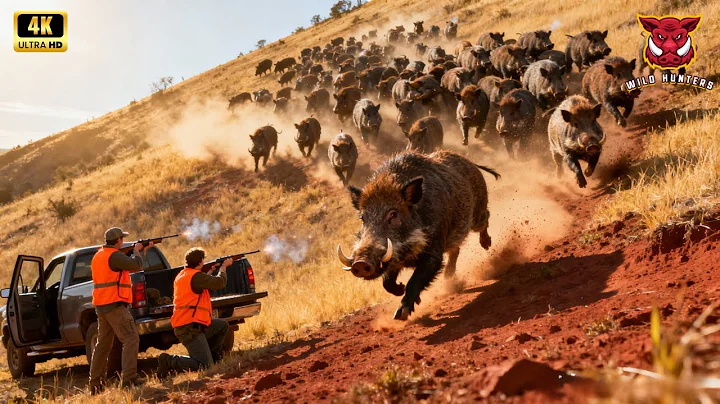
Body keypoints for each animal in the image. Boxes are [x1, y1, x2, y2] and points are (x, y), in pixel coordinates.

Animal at [338, 150, 500, 320]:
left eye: (393, 214)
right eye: (363, 218)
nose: (360, 263)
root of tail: (471, 163)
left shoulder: (433, 253)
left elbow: (416, 280)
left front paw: (400, 315)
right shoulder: (393, 259)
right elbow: (387, 282)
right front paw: (400, 289)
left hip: (477, 214)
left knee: (485, 218)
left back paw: (486, 244)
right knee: (455, 249)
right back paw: (448, 277)